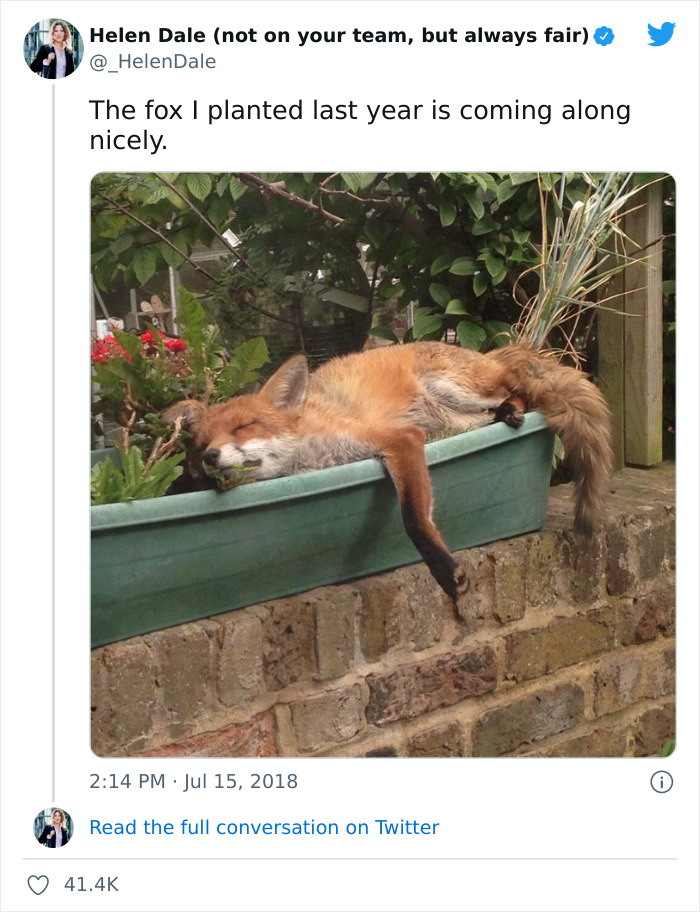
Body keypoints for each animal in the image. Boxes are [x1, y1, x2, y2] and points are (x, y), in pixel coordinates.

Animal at [164, 342, 612, 603]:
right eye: (202, 445)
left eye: (245, 427)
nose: (210, 458)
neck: (313, 456)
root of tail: (486, 352)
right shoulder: (407, 441)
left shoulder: (400, 440)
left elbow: (414, 518)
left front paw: (444, 569)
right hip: (450, 421)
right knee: (495, 410)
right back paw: (505, 415)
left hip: (451, 388)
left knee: (517, 392)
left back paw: (512, 410)